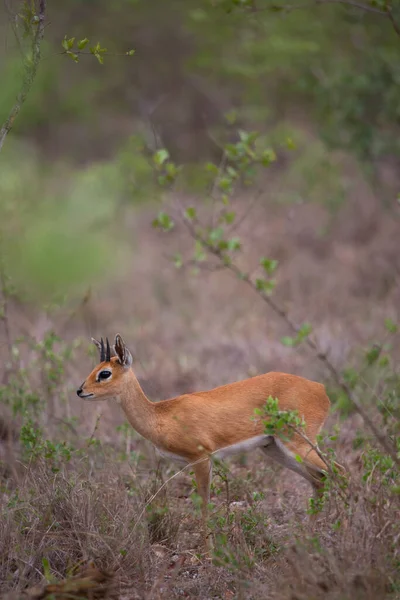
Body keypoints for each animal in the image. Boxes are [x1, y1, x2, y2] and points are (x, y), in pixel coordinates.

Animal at [77, 336, 332, 548]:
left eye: (105, 373)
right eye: (94, 369)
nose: (80, 391)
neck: (161, 415)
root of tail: (320, 389)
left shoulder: (201, 458)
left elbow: (203, 504)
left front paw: (208, 553)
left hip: (298, 444)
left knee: (336, 471)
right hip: (275, 448)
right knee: (319, 480)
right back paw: (307, 538)